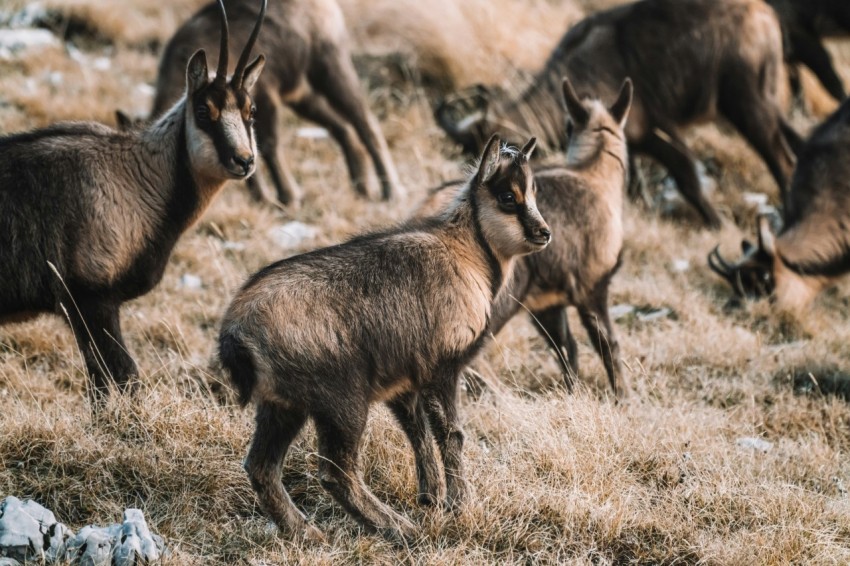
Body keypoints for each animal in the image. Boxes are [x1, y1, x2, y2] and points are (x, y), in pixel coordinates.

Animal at [0, 0, 267, 397]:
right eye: (204, 111)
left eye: (251, 110)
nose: (244, 161)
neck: (137, 179)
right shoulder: (90, 301)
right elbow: (123, 376)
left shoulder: (85, 311)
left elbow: (101, 382)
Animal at [148, 0, 401, 207]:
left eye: (251, 109)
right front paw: (262, 198)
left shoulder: (265, 96)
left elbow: (268, 144)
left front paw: (287, 197)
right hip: (303, 97)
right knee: (342, 128)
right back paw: (363, 188)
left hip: (330, 68)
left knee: (365, 122)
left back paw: (391, 191)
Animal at [218, 135, 550, 542]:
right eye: (507, 196)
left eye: (533, 192)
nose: (544, 233)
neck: (469, 253)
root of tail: (236, 332)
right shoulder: (442, 368)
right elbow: (450, 433)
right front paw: (459, 504)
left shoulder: (403, 382)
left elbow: (417, 432)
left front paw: (430, 498)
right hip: (341, 399)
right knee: (336, 471)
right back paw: (399, 529)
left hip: (282, 405)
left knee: (261, 466)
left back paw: (307, 533)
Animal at [420, 78, 632, 398]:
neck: (595, 177)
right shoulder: (593, 288)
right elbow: (608, 345)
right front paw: (623, 397)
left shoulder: (547, 305)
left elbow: (566, 348)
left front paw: (572, 392)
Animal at [435, 0, 801, 230]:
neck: (581, 68)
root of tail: (764, 12)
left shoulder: (659, 134)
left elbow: (689, 178)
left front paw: (718, 224)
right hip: (771, 105)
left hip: (748, 107)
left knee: (783, 162)